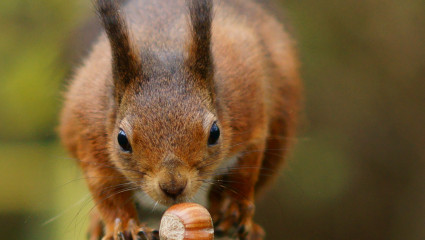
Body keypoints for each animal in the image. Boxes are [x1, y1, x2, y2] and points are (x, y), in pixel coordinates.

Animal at [59, 0, 300, 239]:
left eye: (215, 133)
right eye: (122, 140)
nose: (173, 186)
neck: (162, 48)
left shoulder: (248, 112)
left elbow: (245, 171)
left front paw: (234, 209)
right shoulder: (91, 135)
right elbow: (106, 192)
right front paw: (125, 226)